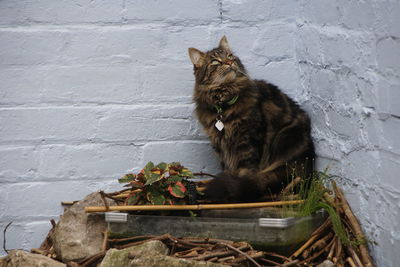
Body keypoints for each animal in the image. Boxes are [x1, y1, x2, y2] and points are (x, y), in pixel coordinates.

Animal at [188, 35, 316, 203]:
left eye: (230, 56)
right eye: (215, 62)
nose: (229, 63)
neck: (223, 103)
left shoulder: (248, 140)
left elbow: (246, 170)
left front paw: (238, 187)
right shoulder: (220, 144)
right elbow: (227, 168)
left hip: (286, 139)